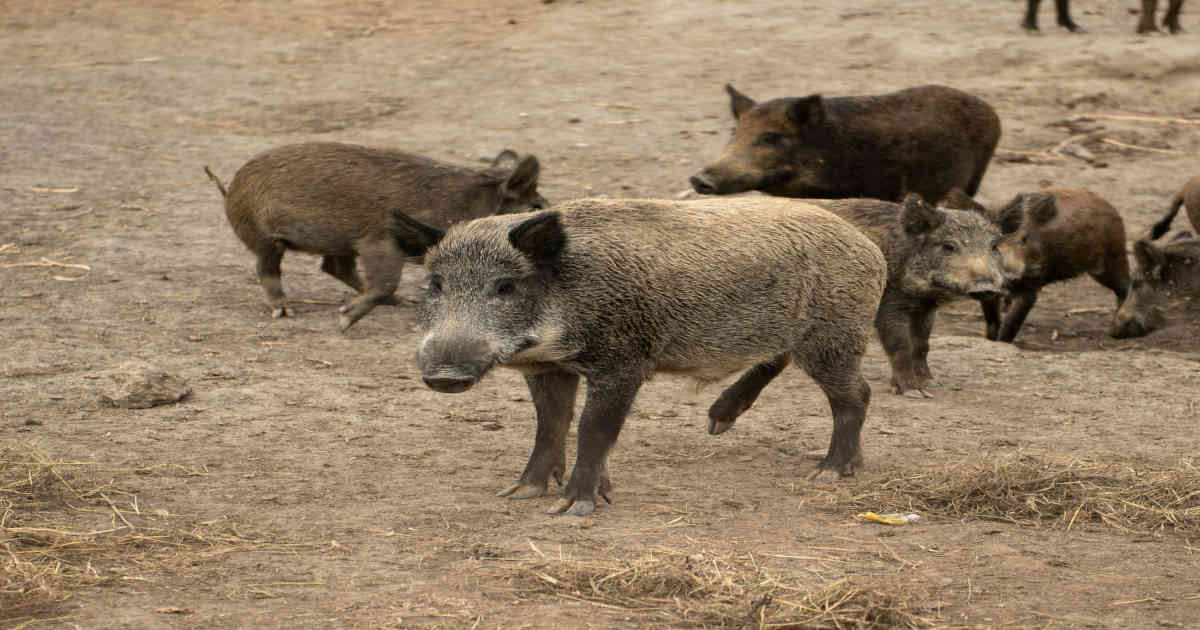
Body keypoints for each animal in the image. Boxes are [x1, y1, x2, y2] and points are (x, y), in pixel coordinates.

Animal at [204, 142, 547, 330]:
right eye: (536, 206)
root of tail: (229, 189)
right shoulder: (378, 241)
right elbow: (385, 282)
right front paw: (343, 321)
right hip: (265, 238)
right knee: (267, 268)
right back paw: (285, 311)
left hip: (339, 242)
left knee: (334, 267)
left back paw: (402, 302)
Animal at [395, 197, 887, 516]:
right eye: (435, 284)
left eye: (505, 286)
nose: (444, 375)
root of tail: (867, 246)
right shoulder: (549, 367)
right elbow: (550, 424)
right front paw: (520, 493)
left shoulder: (624, 362)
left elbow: (593, 427)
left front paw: (574, 508)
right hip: (791, 335)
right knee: (777, 362)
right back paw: (717, 423)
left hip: (834, 336)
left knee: (857, 394)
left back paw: (829, 473)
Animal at [810, 194, 1022, 398]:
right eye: (948, 246)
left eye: (994, 246)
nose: (986, 287)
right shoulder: (889, 302)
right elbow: (901, 345)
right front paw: (914, 393)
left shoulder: (926, 307)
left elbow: (921, 344)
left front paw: (932, 384)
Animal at [944, 189, 1131, 342]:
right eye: (992, 243)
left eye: (1024, 239)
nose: (1012, 276)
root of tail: (1112, 208)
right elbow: (992, 323)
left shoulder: (1030, 288)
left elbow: (1010, 325)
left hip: (1111, 261)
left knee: (1125, 286)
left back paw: (1116, 331)